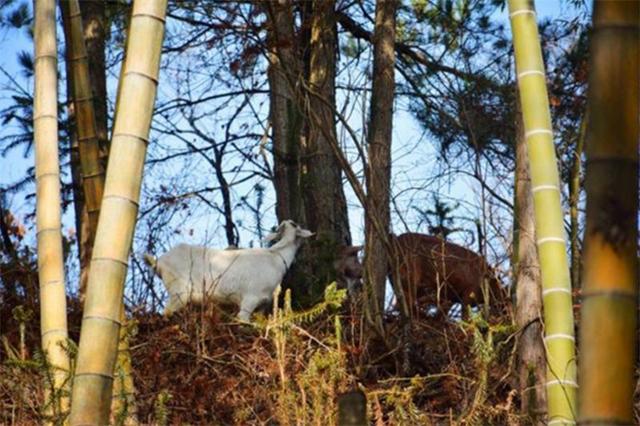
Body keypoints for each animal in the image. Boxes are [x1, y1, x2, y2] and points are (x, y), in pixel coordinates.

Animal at [146, 221, 316, 322]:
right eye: (297, 227)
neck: (276, 257)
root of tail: (159, 262)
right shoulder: (250, 298)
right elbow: (243, 319)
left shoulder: (263, 303)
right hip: (179, 291)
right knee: (166, 312)